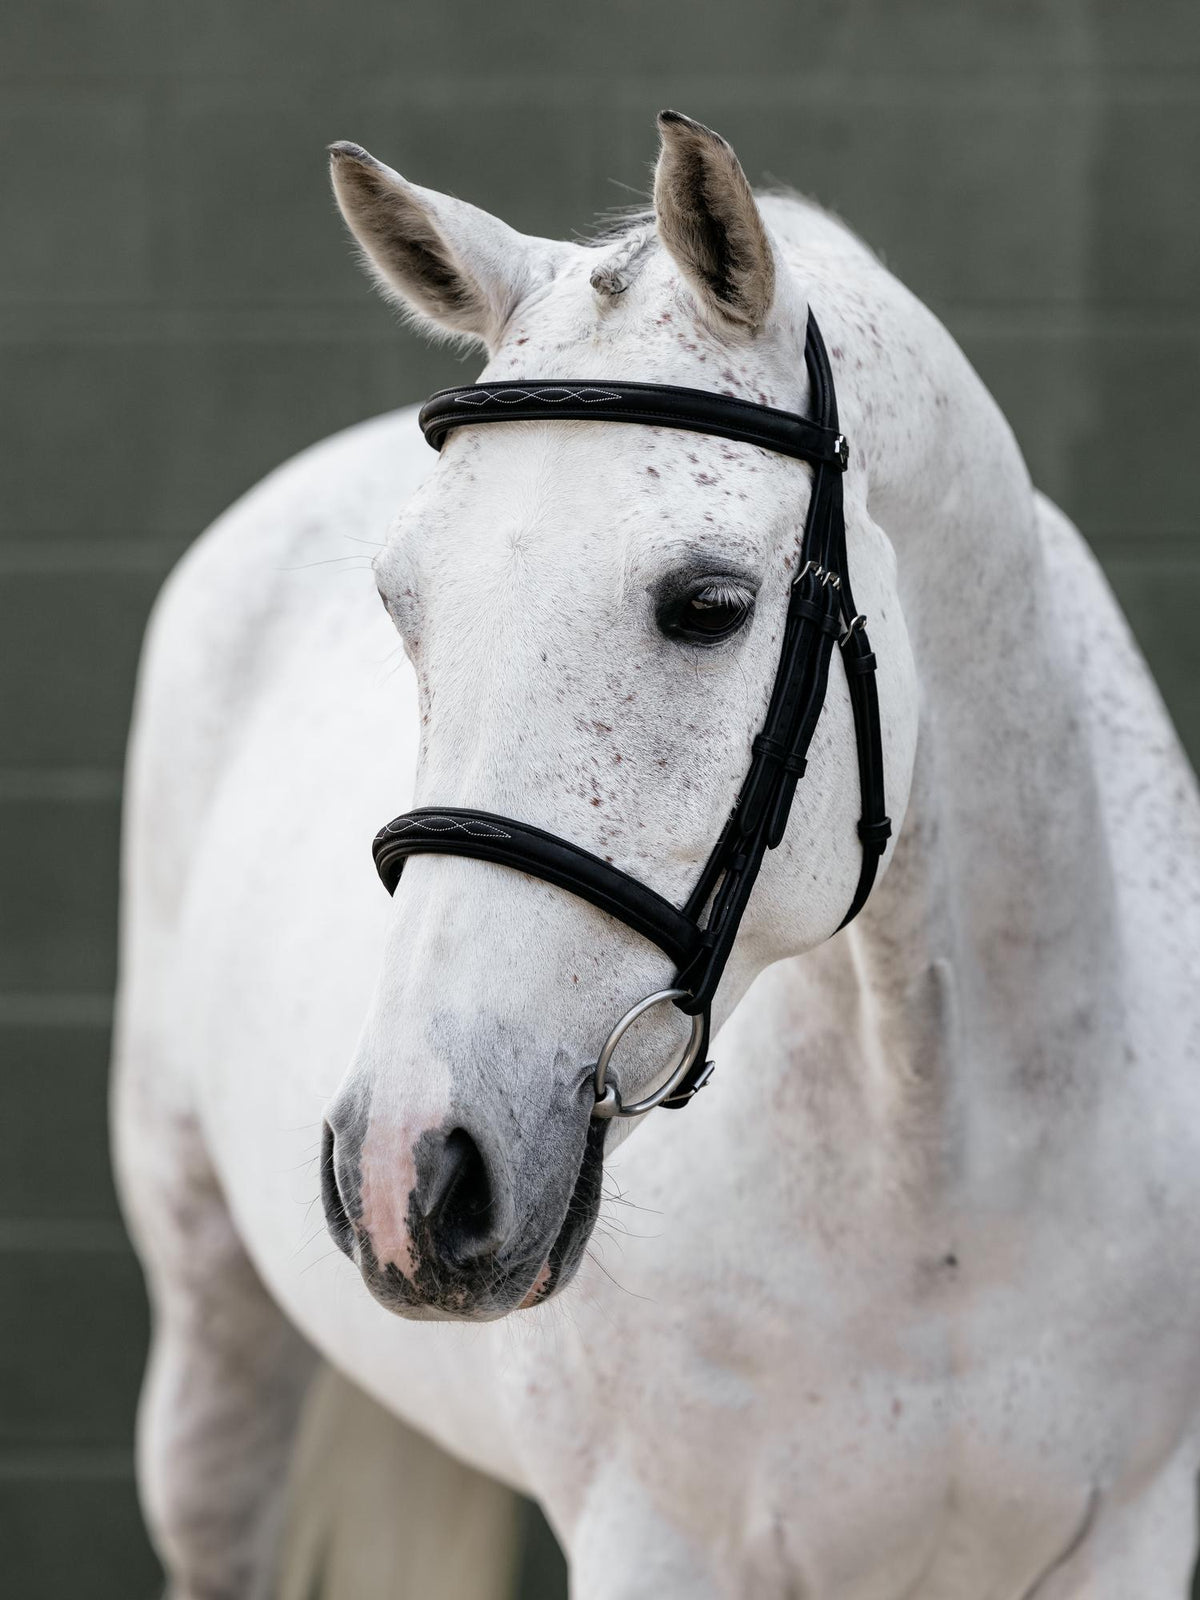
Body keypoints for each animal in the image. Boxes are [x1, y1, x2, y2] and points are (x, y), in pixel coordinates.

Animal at [113, 111, 1200, 1598]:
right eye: (402, 604)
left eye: (709, 604)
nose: (410, 1167)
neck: (946, 1182)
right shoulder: (657, 1543)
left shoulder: (1136, 1537)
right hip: (213, 1349)